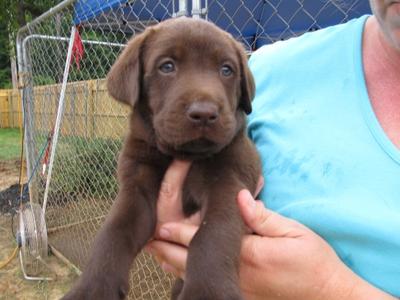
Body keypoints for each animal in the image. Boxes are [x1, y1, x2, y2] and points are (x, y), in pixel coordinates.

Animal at [62, 17, 260, 300]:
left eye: (226, 70)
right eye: (167, 66)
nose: (204, 113)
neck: (181, 154)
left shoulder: (231, 183)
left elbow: (213, 233)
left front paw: (208, 292)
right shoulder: (136, 187)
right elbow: (113, 231)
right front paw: (92, 288)